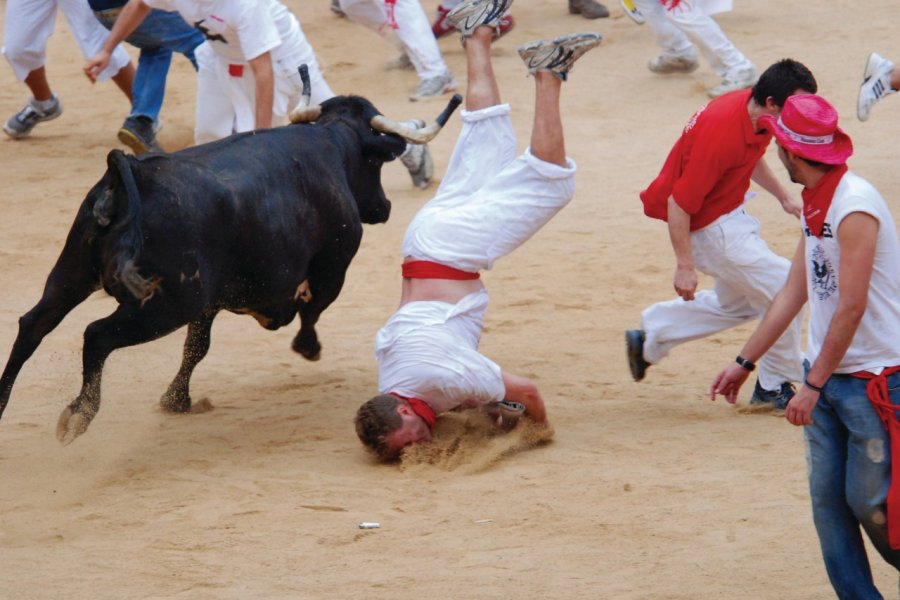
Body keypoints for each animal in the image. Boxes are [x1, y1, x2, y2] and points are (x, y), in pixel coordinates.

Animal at [0, 92, 460, 440]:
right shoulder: (334, 265)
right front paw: (307, 346)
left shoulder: (210, 301)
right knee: (95, 336)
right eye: (377, 162)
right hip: (162, 306)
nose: (384, 208)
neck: (332, 143)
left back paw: (3, 401)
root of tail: (130, 171)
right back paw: (78, 416)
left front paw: (176, 400)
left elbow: (197, 346)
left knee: (33, 324)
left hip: (71, 275)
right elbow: (311, 309)